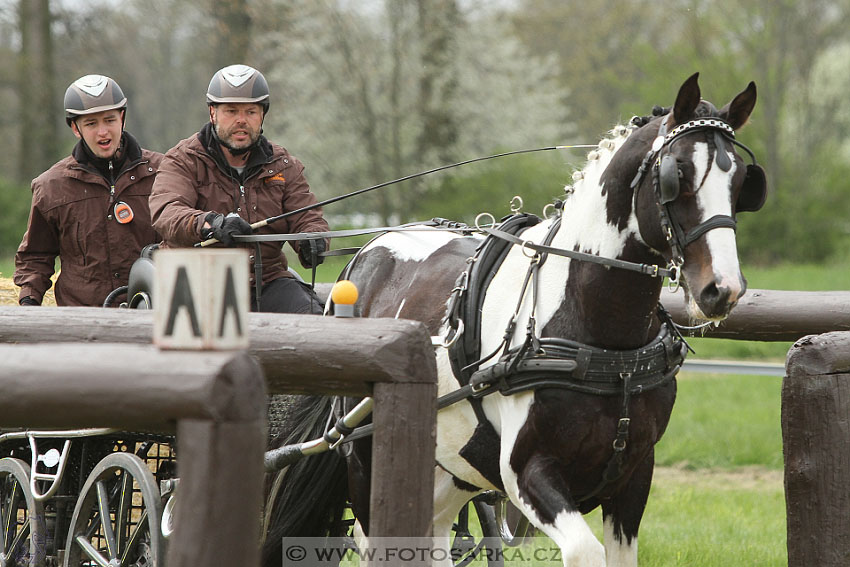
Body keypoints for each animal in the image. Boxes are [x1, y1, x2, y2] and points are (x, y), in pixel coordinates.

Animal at [258, 72, 760, 567]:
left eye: (742, 182)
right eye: (678, 175)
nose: (722, 289)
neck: (603, 343)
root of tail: (364, 255)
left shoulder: (634, 474)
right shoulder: (526, 472)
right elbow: (583, 551)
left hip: (450, 472)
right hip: (367, 458)